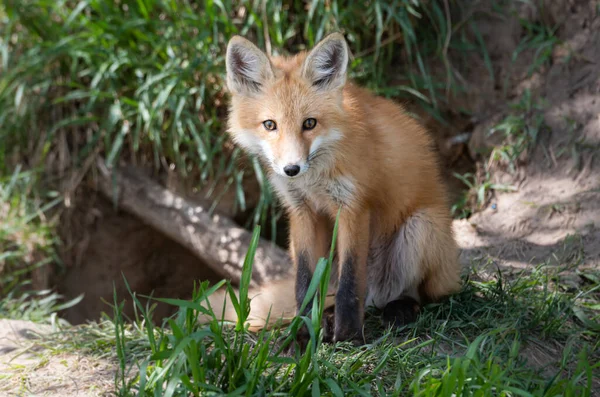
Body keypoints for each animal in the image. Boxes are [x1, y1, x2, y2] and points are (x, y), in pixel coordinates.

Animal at [199, 32, 462, 344]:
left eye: (309, 123)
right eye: (270, 125)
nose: (291, 169)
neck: (314, 179)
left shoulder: (354, 207)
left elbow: (351, 283)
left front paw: (349, 337)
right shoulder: (301, 211)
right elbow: (303, 284)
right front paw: (300, 336)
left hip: (422, 227)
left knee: (419, 293)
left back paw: (400, 308)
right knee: (329, 293)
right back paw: (326, 316)